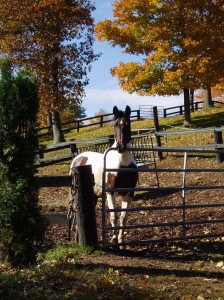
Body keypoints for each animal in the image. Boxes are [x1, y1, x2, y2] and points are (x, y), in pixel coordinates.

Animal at [69, 106, 137, 245]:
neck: (123, 164)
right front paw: (114, 239)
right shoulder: (111, 192)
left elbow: (123, 217)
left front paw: (121, 241)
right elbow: (113, 216)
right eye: (115, 125)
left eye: (127, 124)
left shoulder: (129, 193)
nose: (121, 147)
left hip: (94, 195)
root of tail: (77, 158)